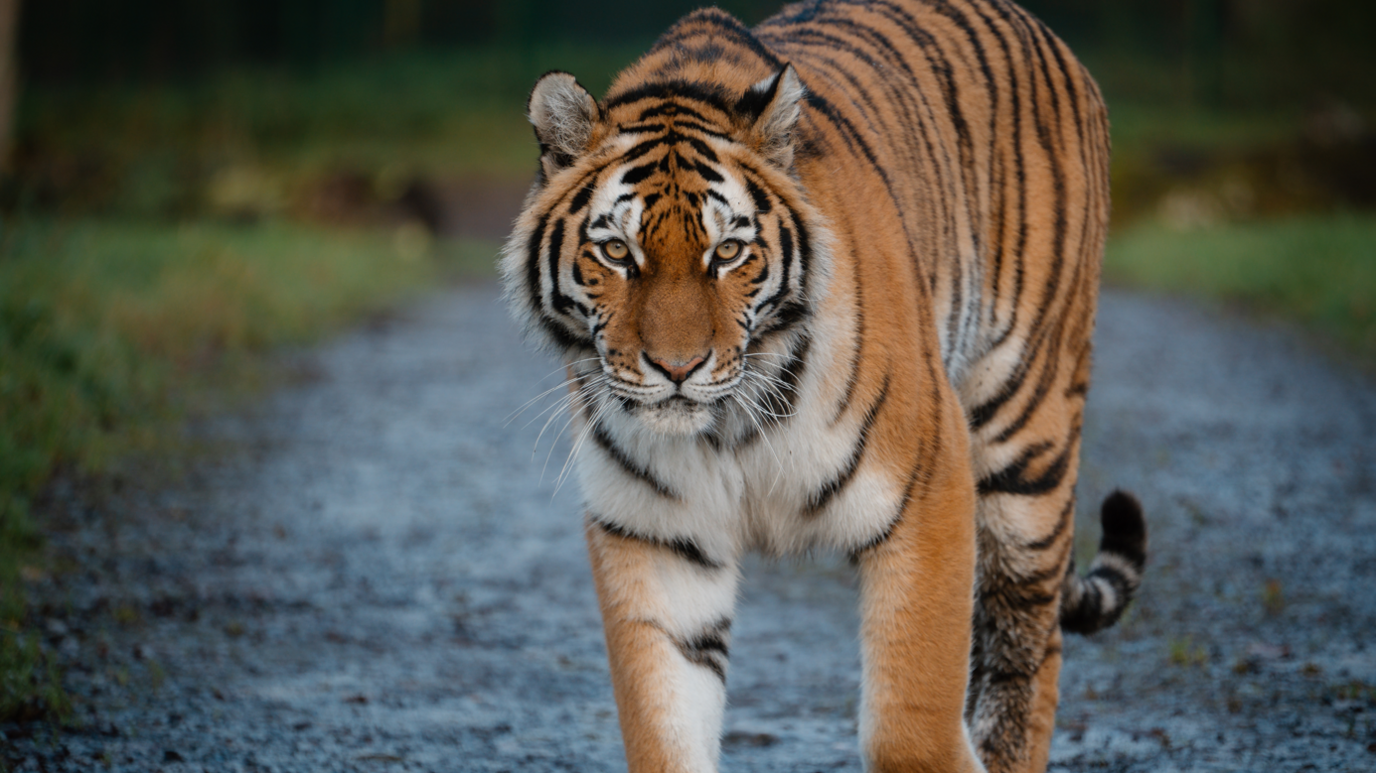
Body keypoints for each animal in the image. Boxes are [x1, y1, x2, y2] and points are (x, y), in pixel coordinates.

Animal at [500, 1, 1144, 770]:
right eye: (617, 252)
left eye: (728, 252)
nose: (678, 368)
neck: (727, 427)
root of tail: (1039, 29)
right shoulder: (657, 536)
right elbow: (664, 727)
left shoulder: (930, 484)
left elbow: (912, 722)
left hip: (1026, 440)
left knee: (1029, 644)